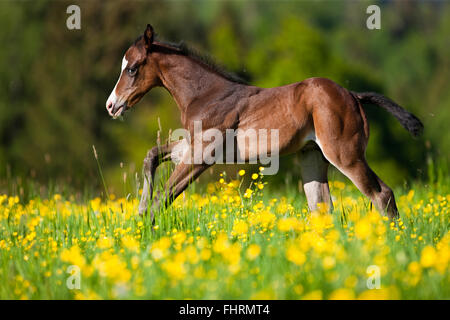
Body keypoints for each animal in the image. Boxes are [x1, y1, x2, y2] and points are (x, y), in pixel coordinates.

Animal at [104, 25, 422, 221]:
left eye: (132, 69)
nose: (111, 105)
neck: (205, 95)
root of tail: (353, 95)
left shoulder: (201, 155)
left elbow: (165, 195)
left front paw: (143, 229)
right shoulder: (192, 146)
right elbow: (151, 156)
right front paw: (139, 211)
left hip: (345, 154)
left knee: (382, 194)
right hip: (313, 156)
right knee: (322, 207)